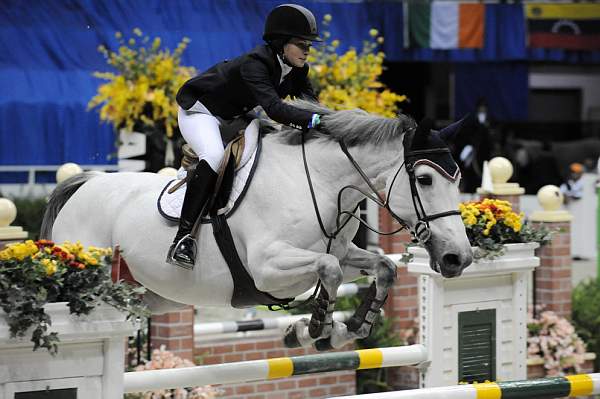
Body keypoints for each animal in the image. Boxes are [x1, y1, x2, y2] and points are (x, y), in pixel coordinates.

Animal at [41, 101, 474, 350]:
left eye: (457, 179)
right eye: (424, 180)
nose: (460, 259)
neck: (319, 183)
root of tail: (84, 183)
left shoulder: (342, 251)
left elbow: (382, 266)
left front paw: (347, 327)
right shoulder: (268, 268)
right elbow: (329, 271)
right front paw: (313, 328)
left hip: (147, 296)